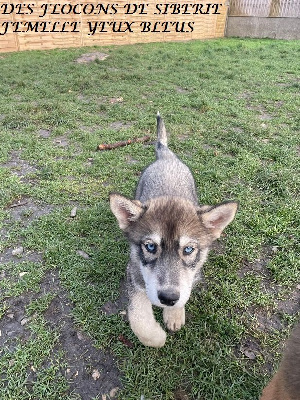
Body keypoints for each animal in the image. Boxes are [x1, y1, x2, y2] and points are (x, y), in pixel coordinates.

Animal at [109, 113, 238, 346]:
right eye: (150, 246)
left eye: (188, 249)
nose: (168, 298)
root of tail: (166, 156)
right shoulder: (134, 273)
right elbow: (138, 317)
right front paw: (156, 337)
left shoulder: (191, 274)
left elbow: (184, 290)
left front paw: (175, 314)